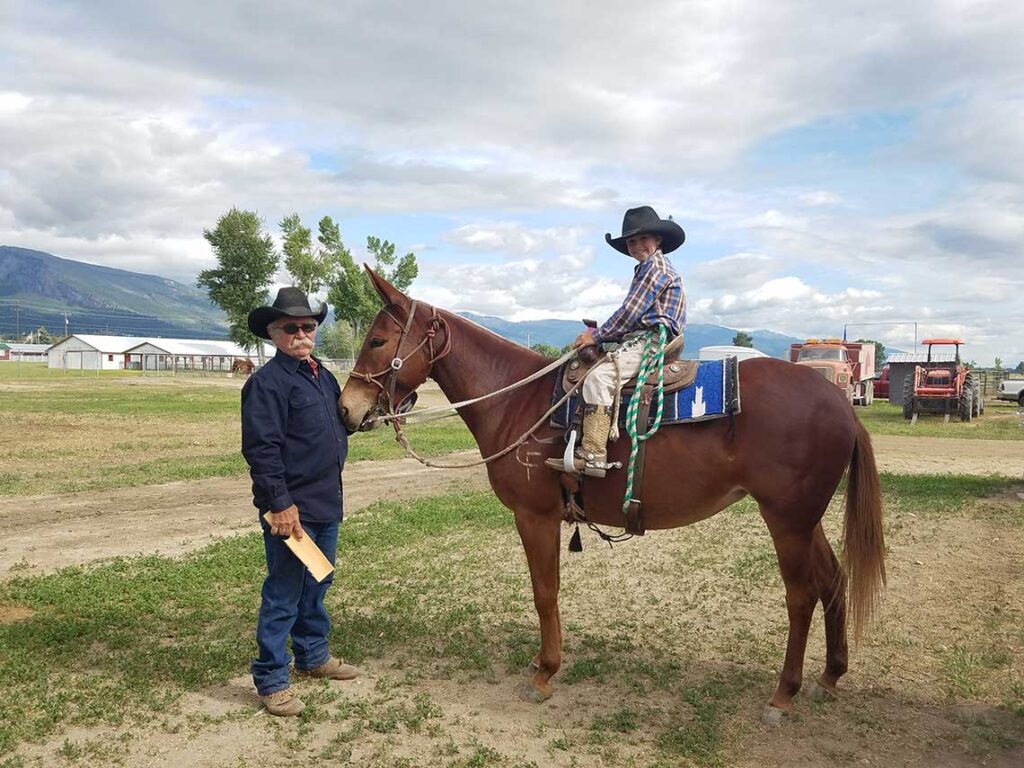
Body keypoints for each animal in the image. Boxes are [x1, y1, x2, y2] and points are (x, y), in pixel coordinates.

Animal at [339, 268, 884, 720]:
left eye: (378, 339)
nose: (347, 409)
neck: (519, 400)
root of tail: (839, 401)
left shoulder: (534, 516)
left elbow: (544, 592)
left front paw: (545, 672)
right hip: (806, 520)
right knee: (833, 580)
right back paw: (829, 676)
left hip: (787, 520)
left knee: (801, 596)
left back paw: (783, 694)